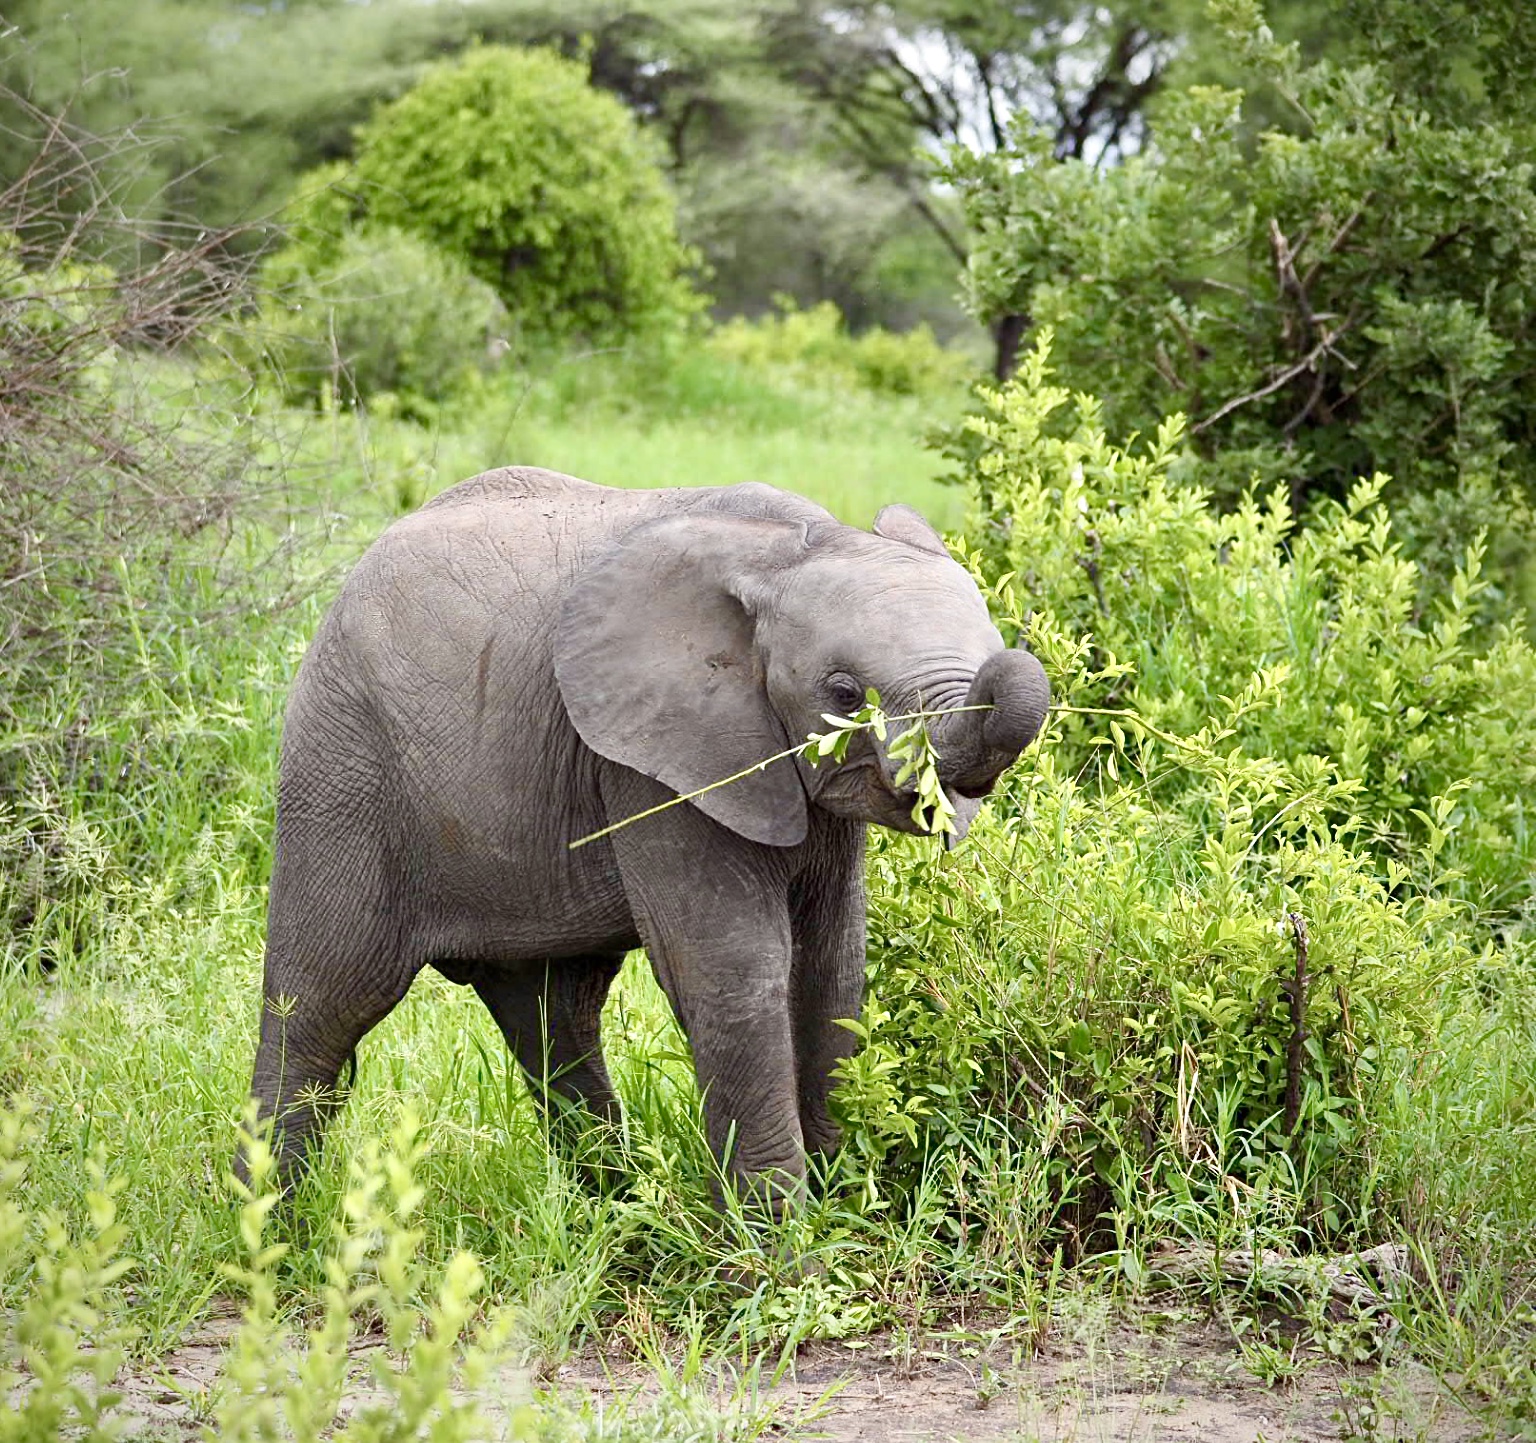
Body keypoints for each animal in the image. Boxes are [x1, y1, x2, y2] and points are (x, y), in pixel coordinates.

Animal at [248, 470, 1044, 1204]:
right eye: (845, 694)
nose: (1011, 665)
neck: (793, 546)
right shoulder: (651, 759)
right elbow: (732, 969)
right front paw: (781, 1247)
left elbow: (831, 966)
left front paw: (843, 1204)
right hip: (344, 767)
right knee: (321, 1006)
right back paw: (276, 1236)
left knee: (552, 1016)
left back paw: (618, 1215)